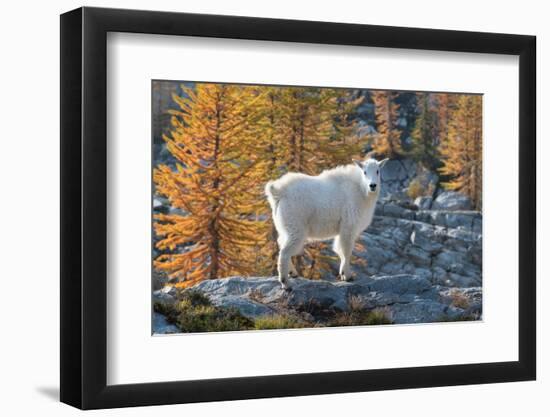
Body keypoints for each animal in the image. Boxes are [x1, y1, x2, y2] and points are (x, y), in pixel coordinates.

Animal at [266, 156, 388, 290]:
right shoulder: (349, 225)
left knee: (281, 244)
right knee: (285, 252)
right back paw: (286, 283)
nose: (373, 185)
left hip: (285, 227)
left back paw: (293, 273)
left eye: (378, 171)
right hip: (295, 227)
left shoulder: (342, 229)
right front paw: (348, 276)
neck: (360, 189)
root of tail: (278, 192)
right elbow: (346, 250)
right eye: (365, 172)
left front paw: (343, 274)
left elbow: (339, 249)